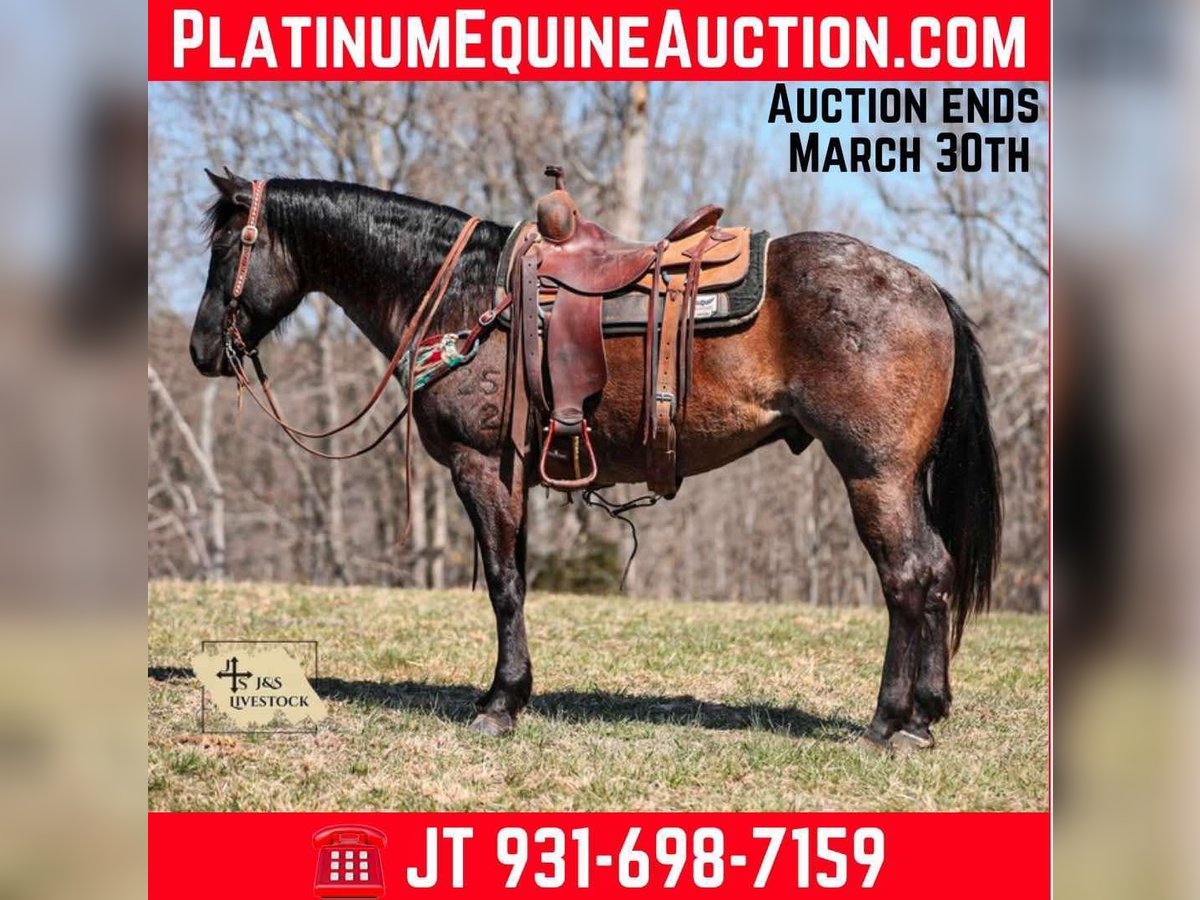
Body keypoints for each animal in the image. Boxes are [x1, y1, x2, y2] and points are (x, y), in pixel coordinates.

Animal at [188, 170, 1002, 751]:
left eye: (226, 251)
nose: (202, 350)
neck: (461, 297)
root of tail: (926, 288)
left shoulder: (479, 466)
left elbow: (504, 584)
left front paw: (501, 702)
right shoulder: (514, 472)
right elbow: (514, 578)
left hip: (873, 475)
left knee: (908, 576)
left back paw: (890, 721)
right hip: (898, 479)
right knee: (932, 573)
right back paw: (925, 714)